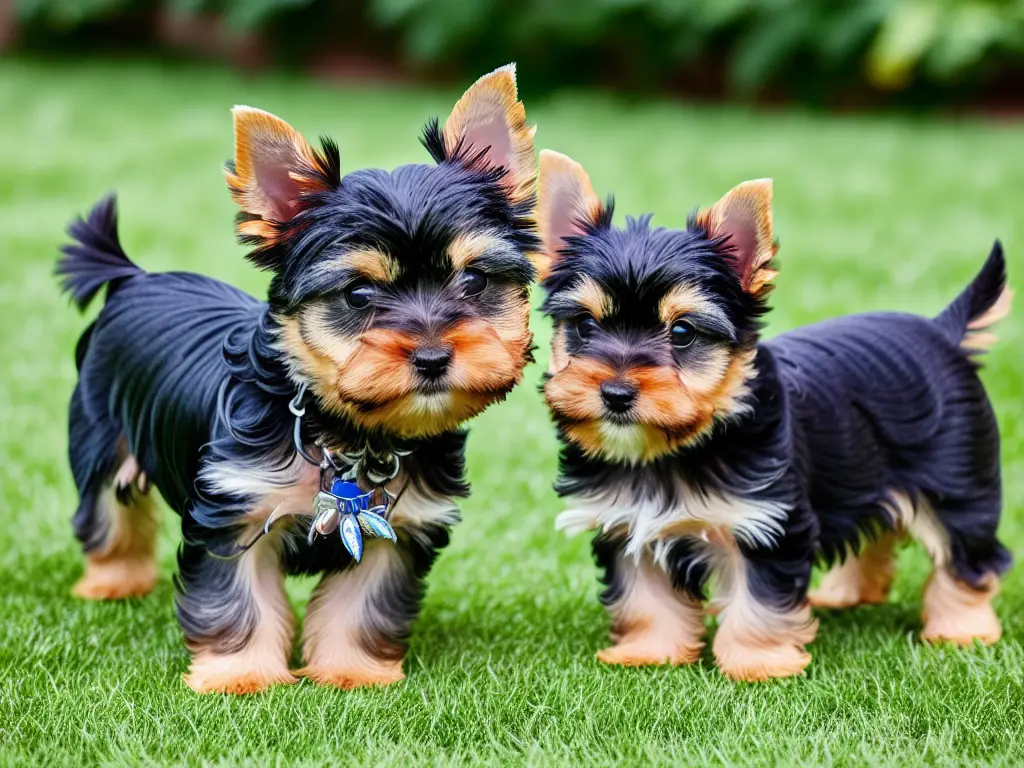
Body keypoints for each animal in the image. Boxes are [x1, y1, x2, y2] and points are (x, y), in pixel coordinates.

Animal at [57, 64, 540, 692]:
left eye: (475, 280)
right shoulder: (234, 509)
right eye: (358, 294)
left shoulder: (400, 525)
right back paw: (113, 583)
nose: (434, 357)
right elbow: (236, 599)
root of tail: (137, 277)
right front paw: (239, 676)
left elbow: (362, 603)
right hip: (99, 436)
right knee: (109, 515)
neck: (344, 429)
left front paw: (351, 670)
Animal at [540, 151, 1011, 684]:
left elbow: (759, 599)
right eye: (584, 324)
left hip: (956, 482)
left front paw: (758, 663)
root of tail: (941, 332)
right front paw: (650, 651)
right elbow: (645, 596)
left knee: (964, 554)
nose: (616, 393)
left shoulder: (769, 522)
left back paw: (961, 630)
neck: (675, 448)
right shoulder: (626, 524)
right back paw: (850, 594)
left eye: (682, 332)